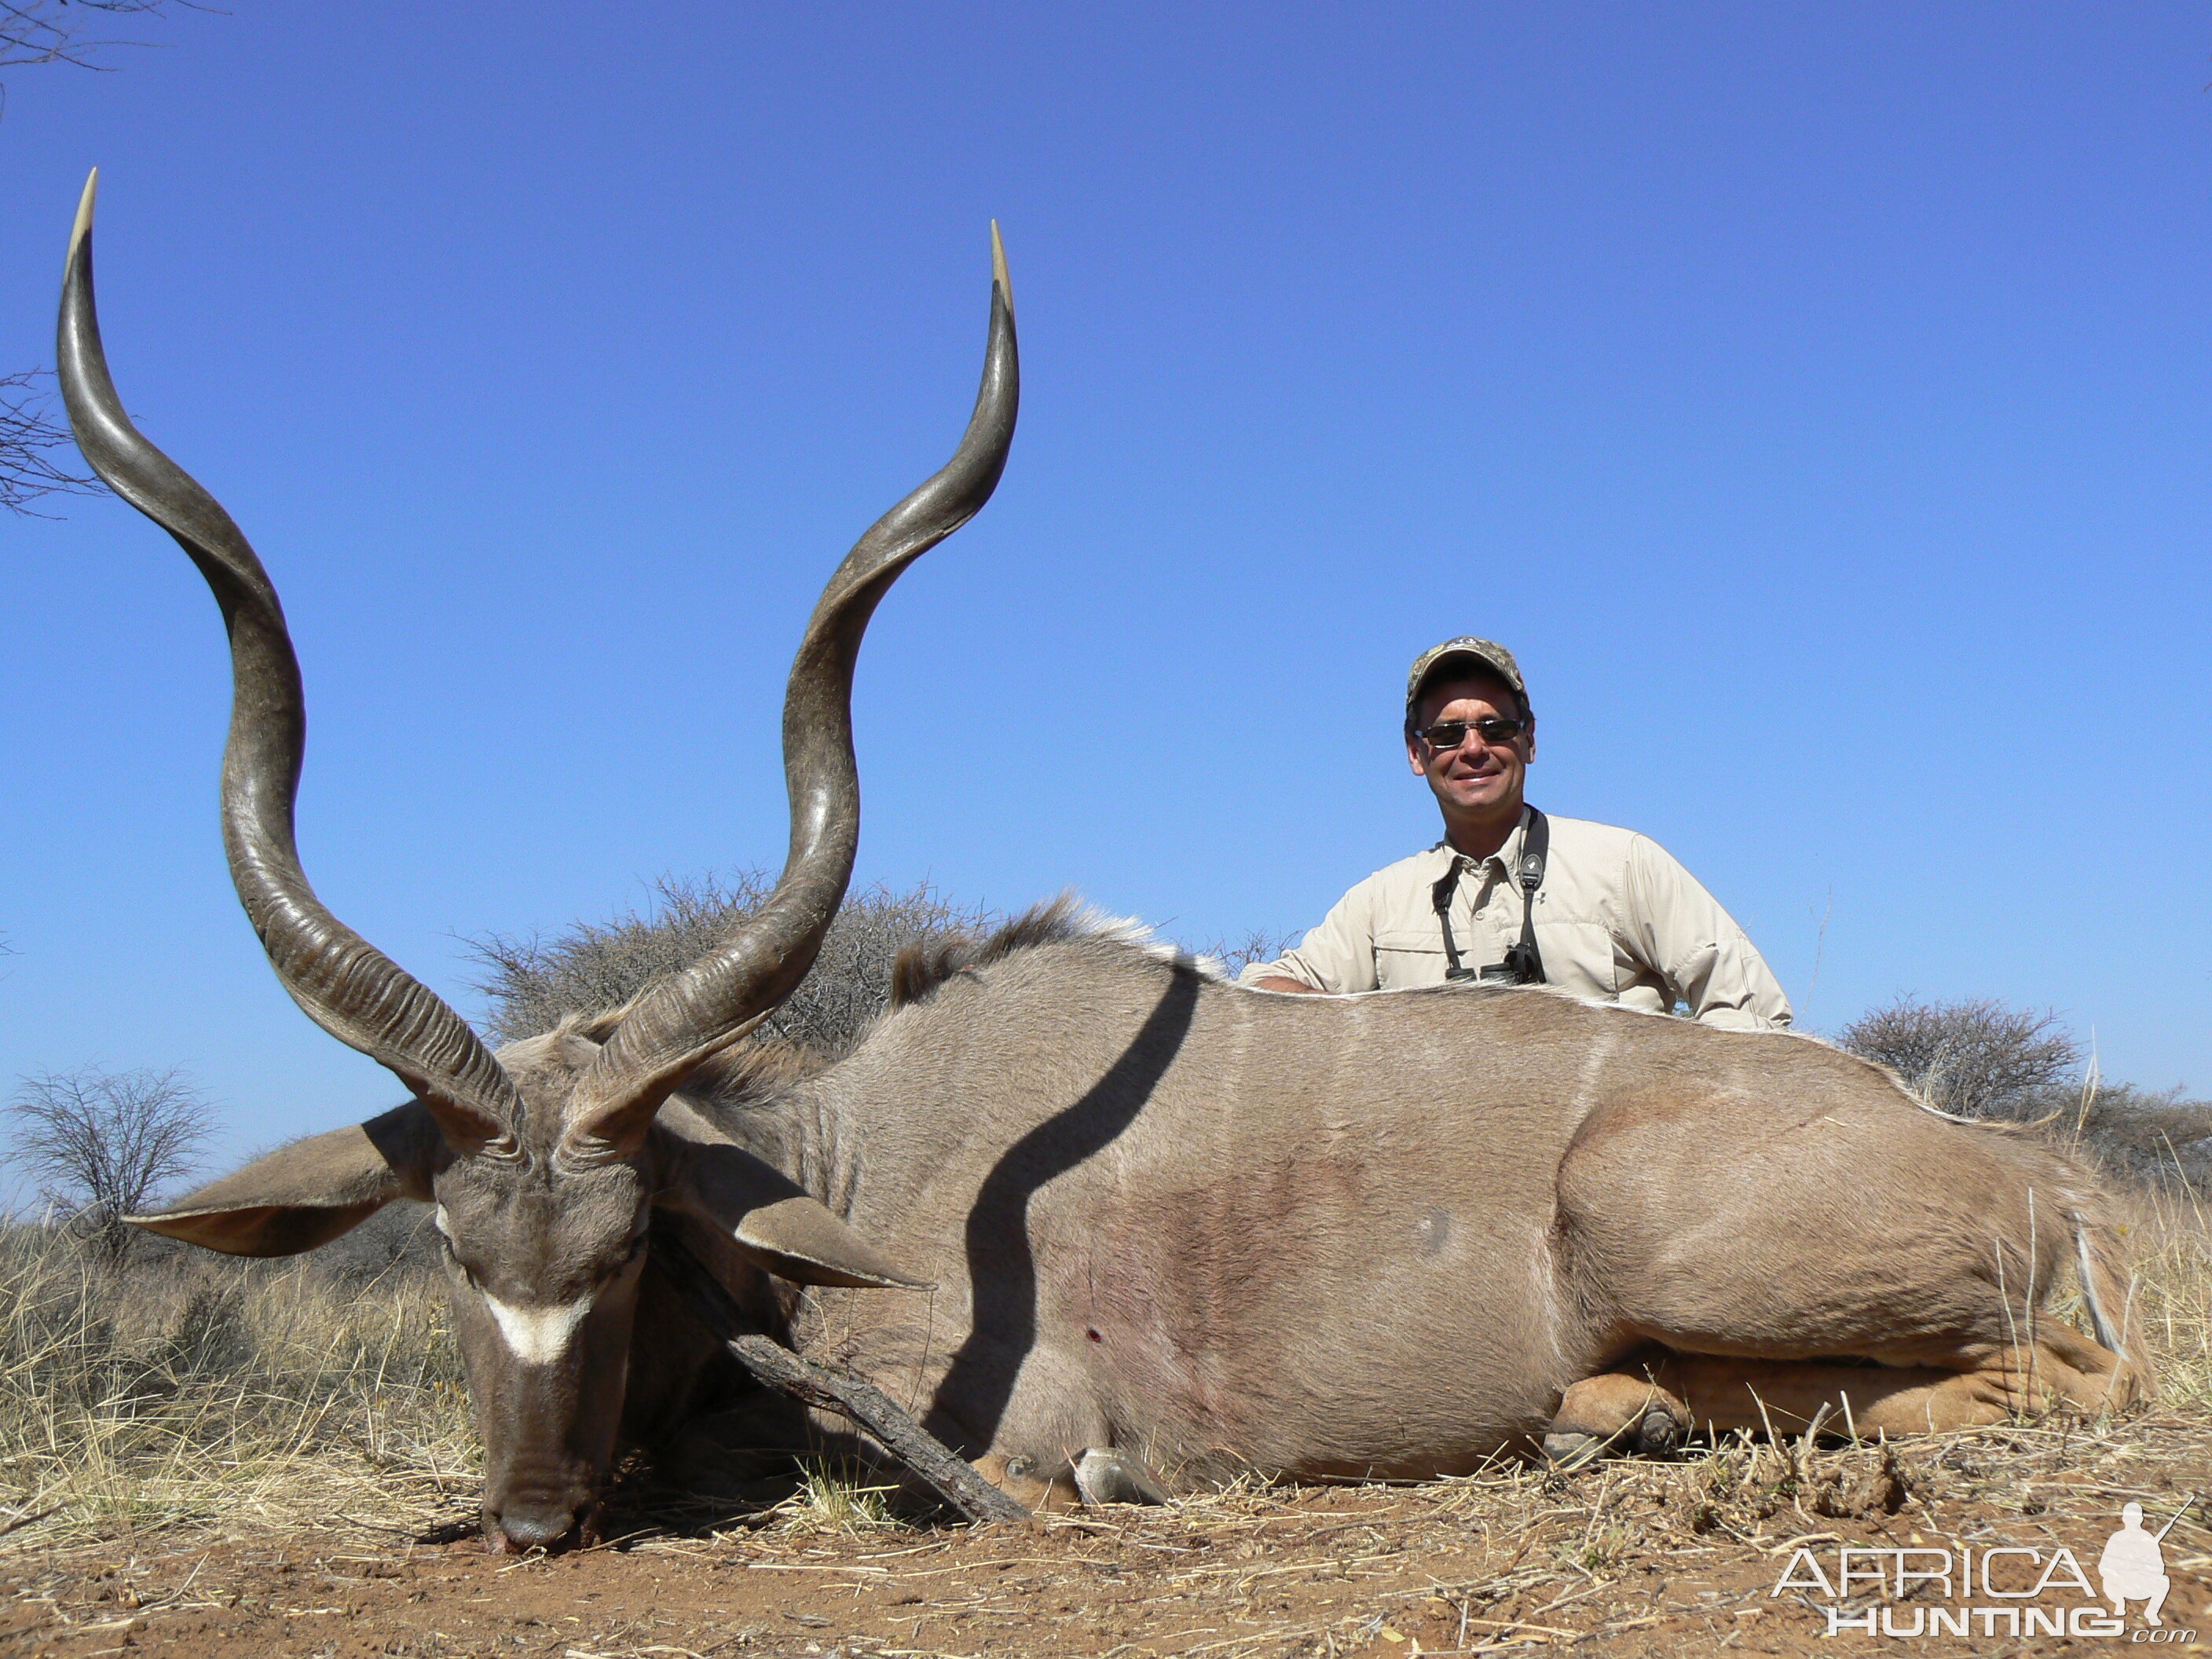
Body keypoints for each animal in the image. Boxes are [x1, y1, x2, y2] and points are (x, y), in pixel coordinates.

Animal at [64, 175, 2141, 1557]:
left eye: (631, 1238)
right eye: (447, 1245)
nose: (530, 1517)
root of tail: (2028, 1168)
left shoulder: (995, 1397)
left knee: (2073, 1383)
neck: (853, 1152)